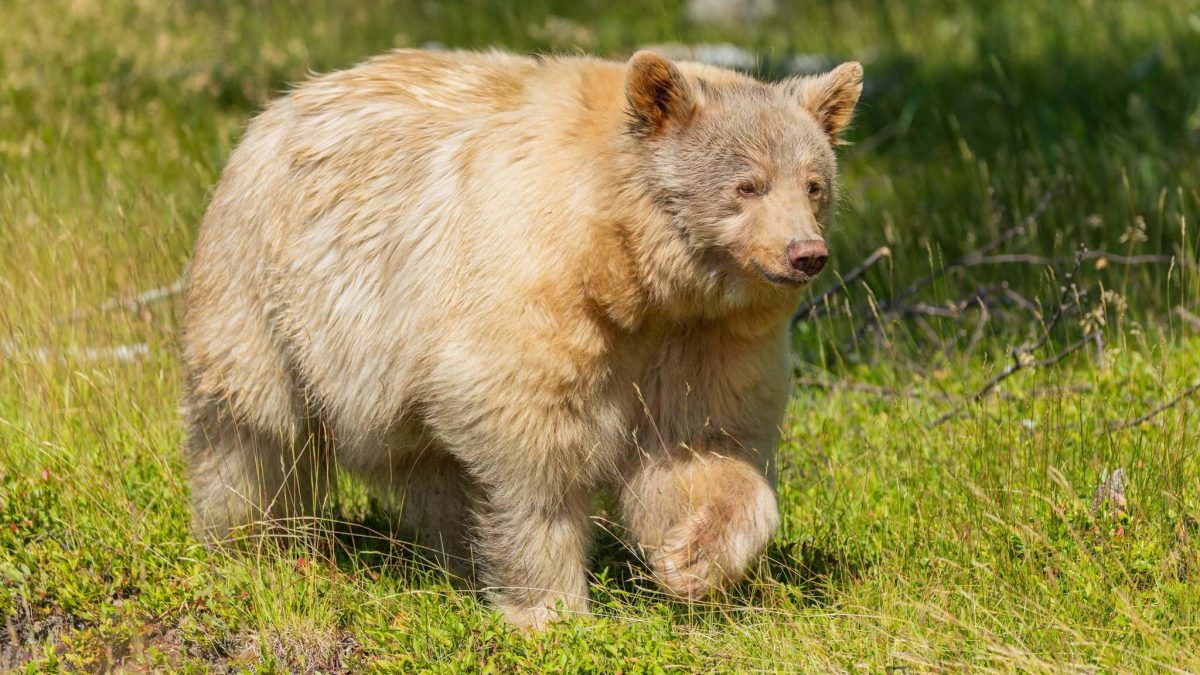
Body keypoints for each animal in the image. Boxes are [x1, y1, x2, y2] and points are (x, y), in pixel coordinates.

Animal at [181, 48, 862, 629]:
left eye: (813, 184)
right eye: (747, 184)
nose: (805, 254)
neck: (631, 269)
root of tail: (278, 106)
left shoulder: (704, 337)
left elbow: (698, 446)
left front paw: (692, 557)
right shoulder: (533, 281)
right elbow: (531, 443)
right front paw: (550, 609)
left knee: (428, 466)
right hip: (266, 289)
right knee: (253, 430)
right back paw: (250, 541)